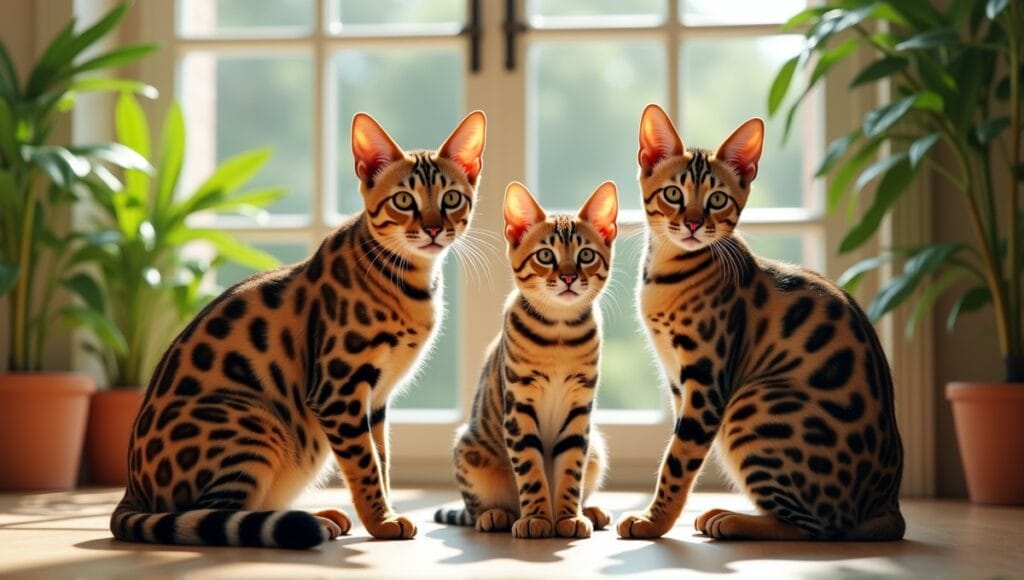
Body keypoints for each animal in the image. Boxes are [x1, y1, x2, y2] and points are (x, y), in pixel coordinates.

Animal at [110, 110, 485, 549]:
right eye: (404, 200)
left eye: (451, 199)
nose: (432, 229)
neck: (411, 281)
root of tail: (130, 490)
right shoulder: (338, 390)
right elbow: (365, 466)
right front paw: (381, 521)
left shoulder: (376, 399)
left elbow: (381, 460)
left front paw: (386, 513)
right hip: (253, 421)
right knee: (207, 516)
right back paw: (307, 523)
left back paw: (321, 517)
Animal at [610, 105, 901, 545]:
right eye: (674, 194)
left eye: (717, 199)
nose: (693, 224)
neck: (665, 273)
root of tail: (891, 503)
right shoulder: (680, 385)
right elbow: (679, 451)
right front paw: (658, 517)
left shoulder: (707, 383)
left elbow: (678, 459)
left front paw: (653, 522)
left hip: (752, 404)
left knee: (820, 527)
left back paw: (731, 520)